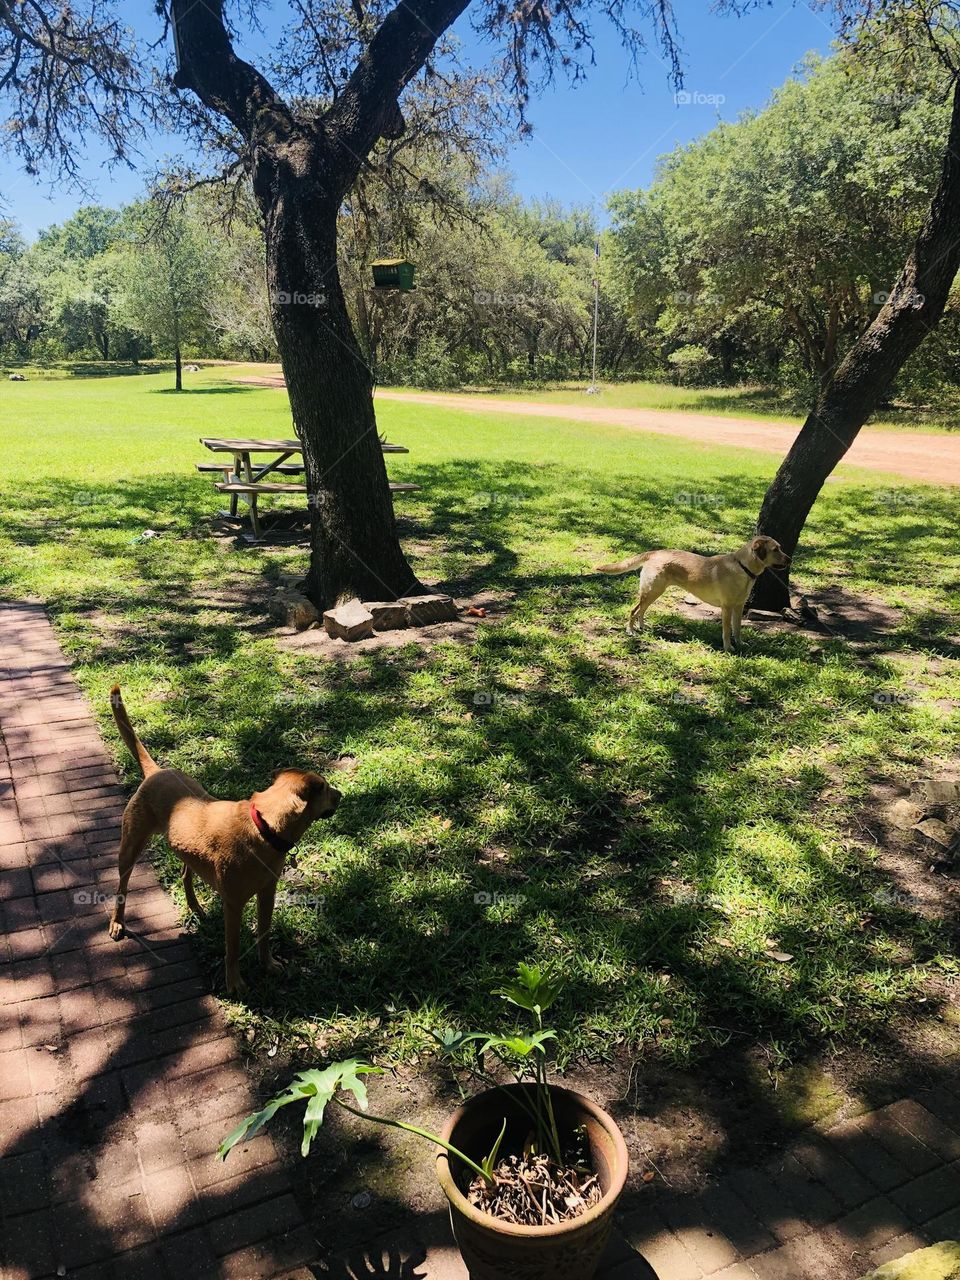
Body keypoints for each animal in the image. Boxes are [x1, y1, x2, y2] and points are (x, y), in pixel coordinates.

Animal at [108, 686, 343, 993]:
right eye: (325, 788)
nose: (342, 795)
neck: (263, 827)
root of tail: (157, 772)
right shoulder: (233, 904)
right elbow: (232, 947)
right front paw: (235, 983)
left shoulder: (267, 892)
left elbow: (264, 933)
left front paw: (268, 965)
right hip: (130, 847)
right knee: (122, 887)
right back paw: (117, 923)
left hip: (185, 848)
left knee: (185, 873)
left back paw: (195, 906)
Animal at [599, 532, 793, 650]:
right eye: (776, 549)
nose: (790, 560)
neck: (743, 567)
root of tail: (655, 552)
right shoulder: (727, 608)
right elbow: (726, 631)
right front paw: (728, 648)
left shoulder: (739, 607)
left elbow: (737, 629)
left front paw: (740, 644)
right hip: (651, 591)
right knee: (634, 610)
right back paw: (630, 631)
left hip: (653, 593)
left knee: (641, 611)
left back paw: (641, 627)